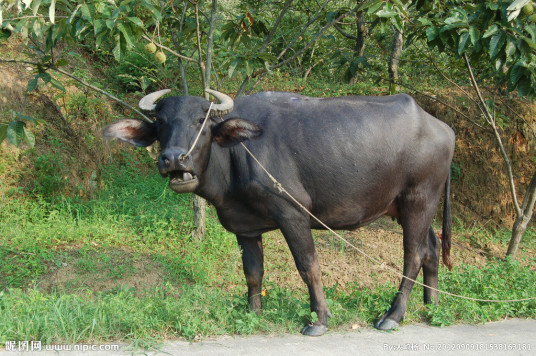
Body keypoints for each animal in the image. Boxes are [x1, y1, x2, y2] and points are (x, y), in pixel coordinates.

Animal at [105, 89, 456, 336]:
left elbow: (308, 266)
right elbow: (252, 271)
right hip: (409, 205)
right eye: (161, 124)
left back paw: (392, 315)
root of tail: (443, 129)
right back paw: (432, 307)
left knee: (412, 255)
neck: (237, 153)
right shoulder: (246, 228)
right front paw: (253, 312)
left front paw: (319, 319)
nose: (174, 158)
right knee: (431, 248)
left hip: (419, 198)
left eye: (200, 124)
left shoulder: (292, 214)